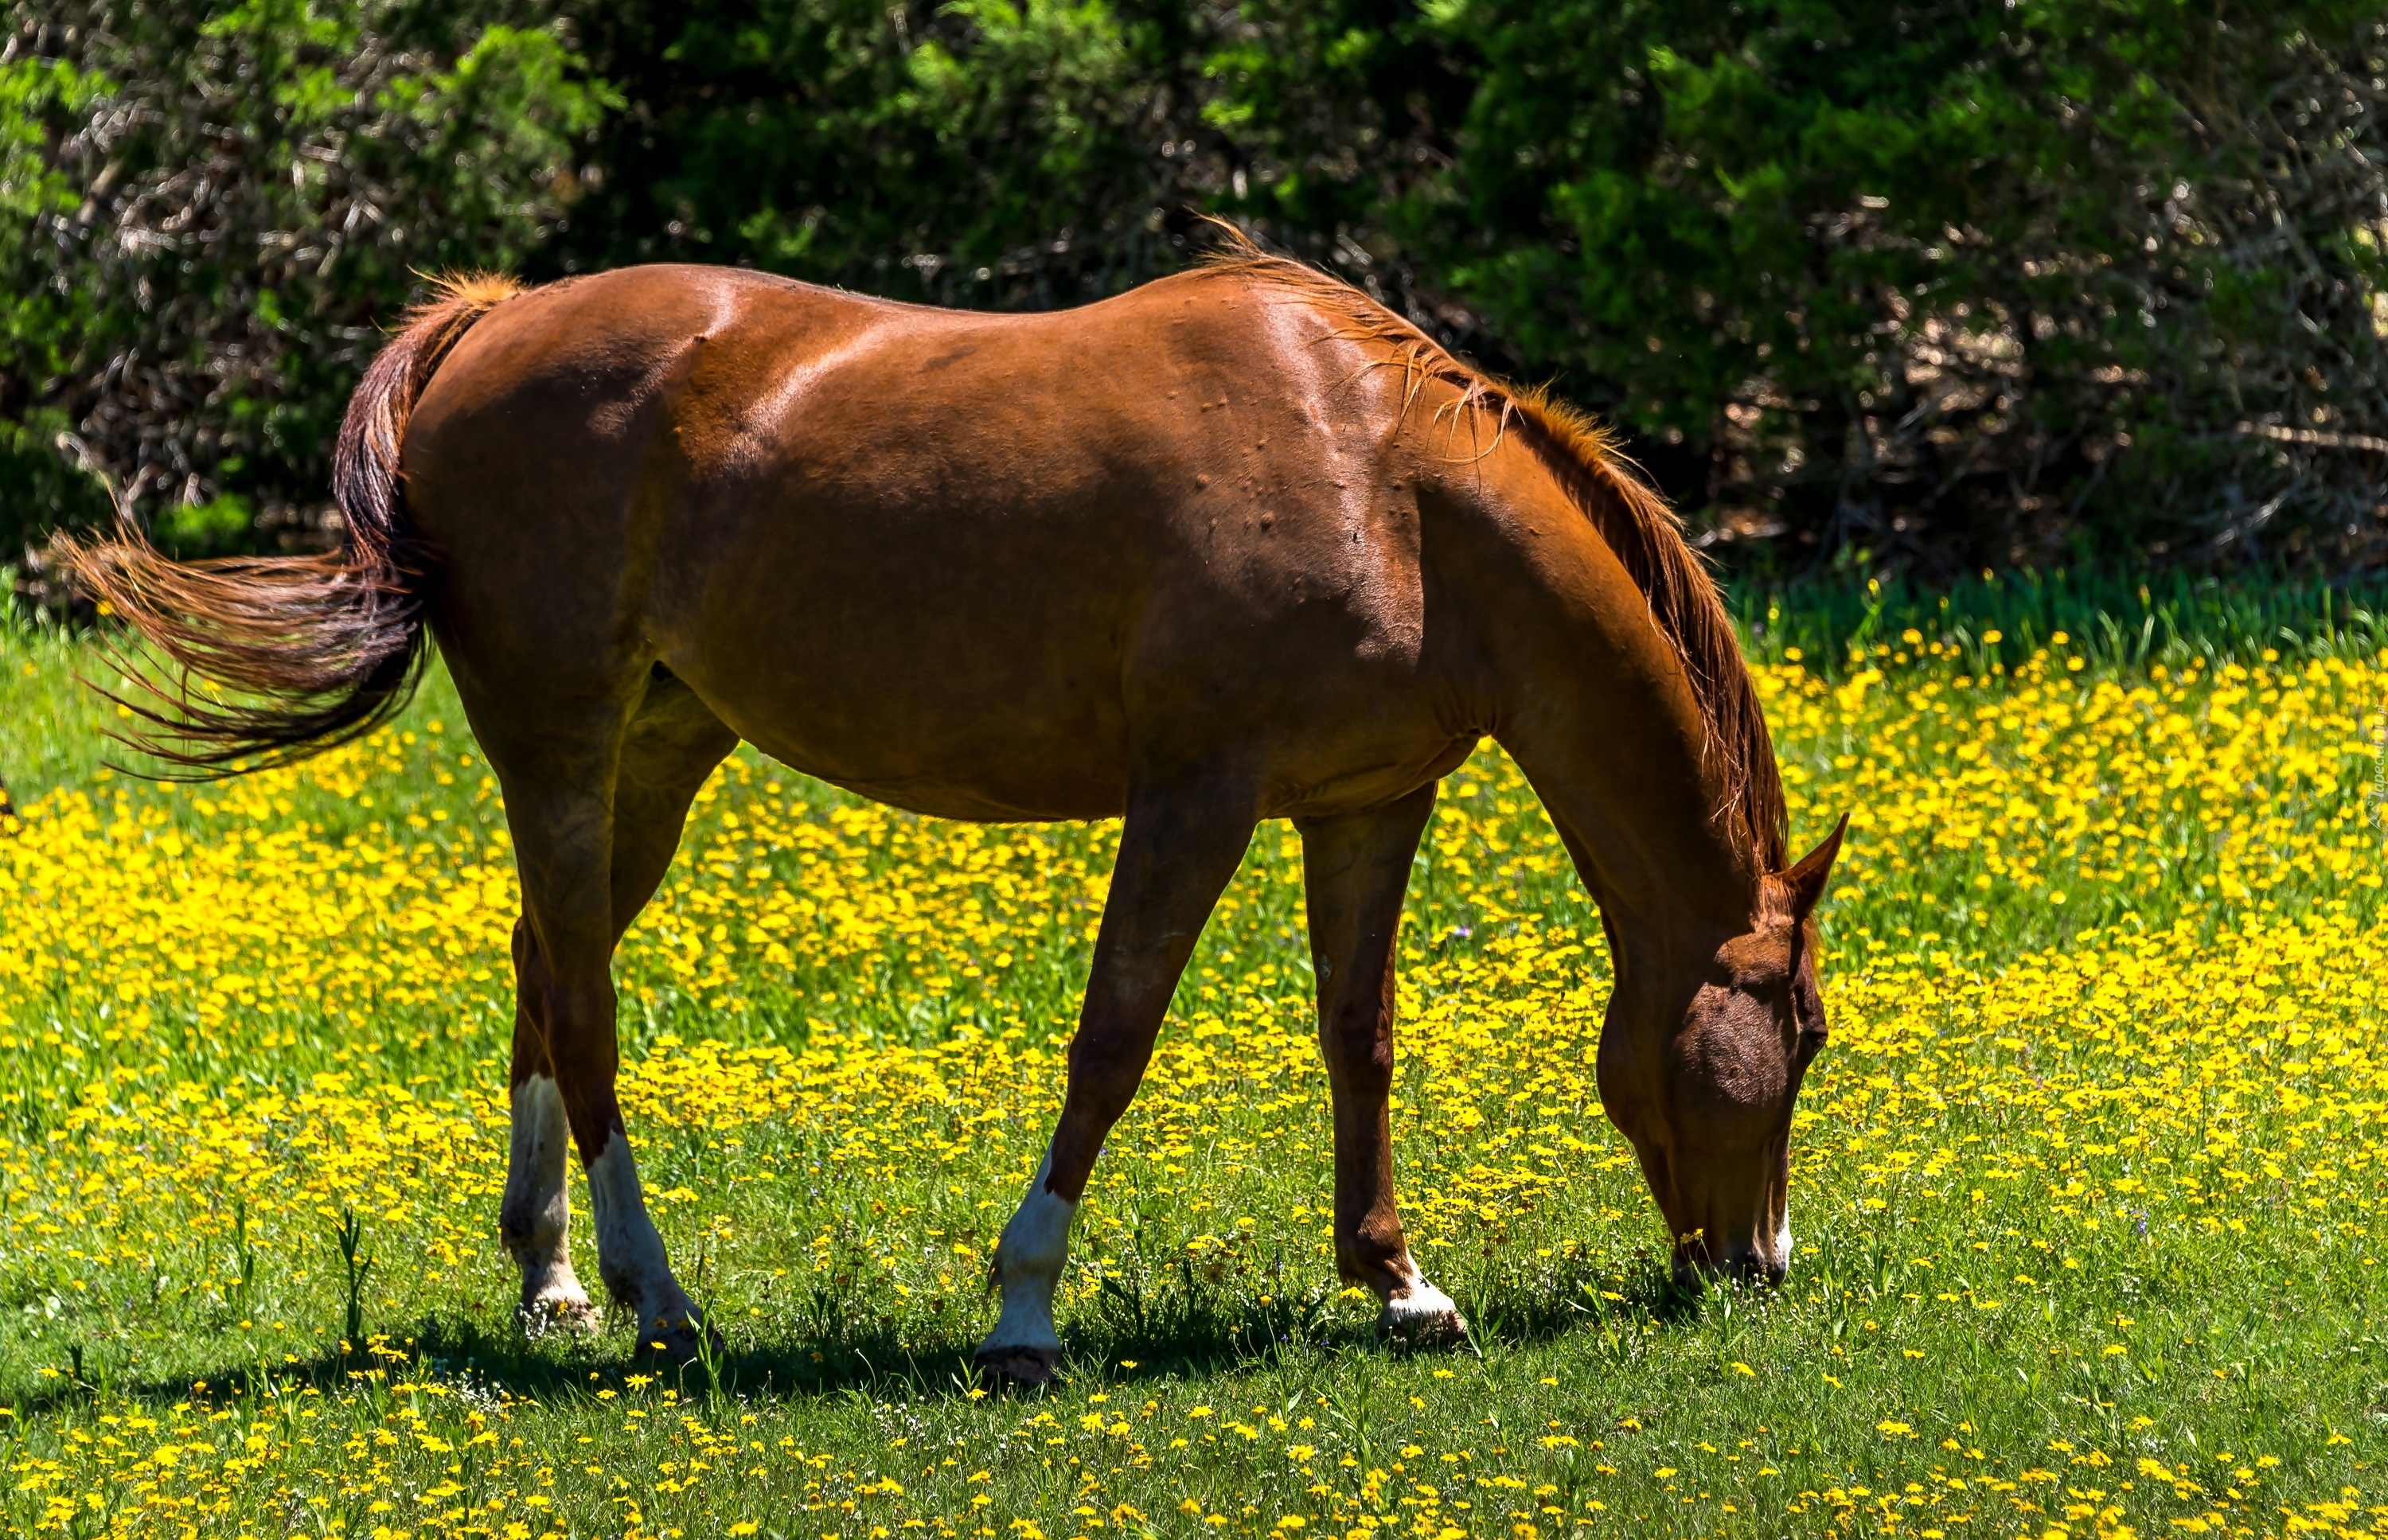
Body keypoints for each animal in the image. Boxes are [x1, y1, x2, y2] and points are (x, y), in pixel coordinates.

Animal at [60, 232, 1844, 1385]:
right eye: (1806, 1035)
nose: (1761, 1267)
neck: (1388, 480)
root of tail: (487, 328)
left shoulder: (1367, 802)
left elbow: (1363, 1039)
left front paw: (1400, 1285)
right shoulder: (1193, 799)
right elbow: (1114, 1039)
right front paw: (1025, 1309)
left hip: (661, 747)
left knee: (540, 967)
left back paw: (553, 1279)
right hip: (559, 741)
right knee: (584, 1007)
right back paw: (659, 1300)